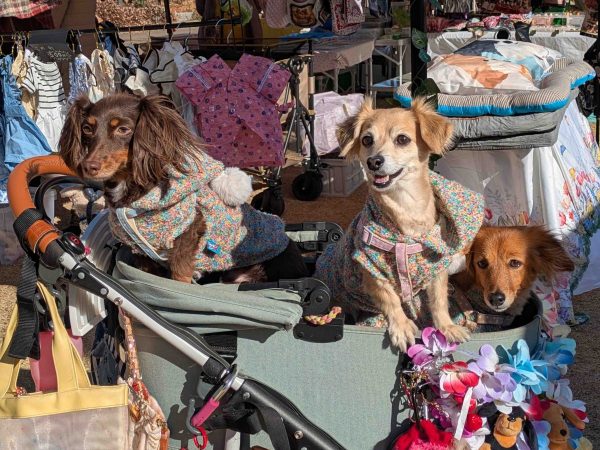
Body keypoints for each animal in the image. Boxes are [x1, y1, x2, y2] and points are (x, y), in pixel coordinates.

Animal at [59, 93, 308, 283]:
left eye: (123, 129)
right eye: (87, 128)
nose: (88, 166)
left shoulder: (185, 239)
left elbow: (179, 278)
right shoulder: (142, 254)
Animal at [315, 98, 485, 351]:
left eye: (402, 139)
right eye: (367, 140)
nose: (373, 161)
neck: (406, 208)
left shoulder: (436, 269)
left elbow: (438, 301)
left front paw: (446, 326)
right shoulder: (371, 269)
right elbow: (391, 299)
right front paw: (402, 326)